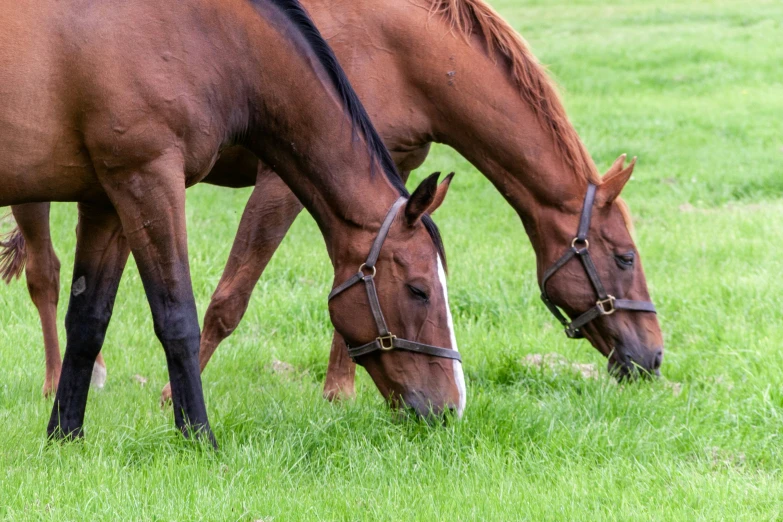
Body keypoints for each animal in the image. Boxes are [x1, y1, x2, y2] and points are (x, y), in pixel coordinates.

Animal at [0, 0, 466, 442]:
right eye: (419, 290)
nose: (452, 407)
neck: (217, 40)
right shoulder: (148, 181)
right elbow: (177, 318)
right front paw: (198, 437)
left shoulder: (107, 203)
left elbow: (88, 320)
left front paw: (65, 436)